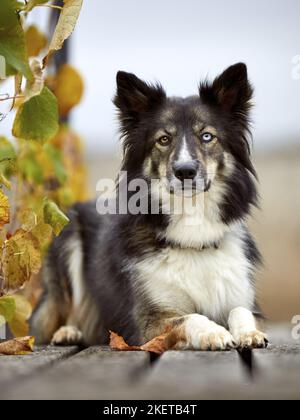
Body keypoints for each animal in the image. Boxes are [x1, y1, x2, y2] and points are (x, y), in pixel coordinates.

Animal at [32, 63, 268, 352]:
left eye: (207, 136)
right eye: (164, 139)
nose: (185, 171)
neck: (192, 228)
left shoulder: (244, 299)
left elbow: (240, 311)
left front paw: (249, 333)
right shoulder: (149, 321)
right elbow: (191, 317)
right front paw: (214, 332)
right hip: (69, 238)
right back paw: (68, 332)